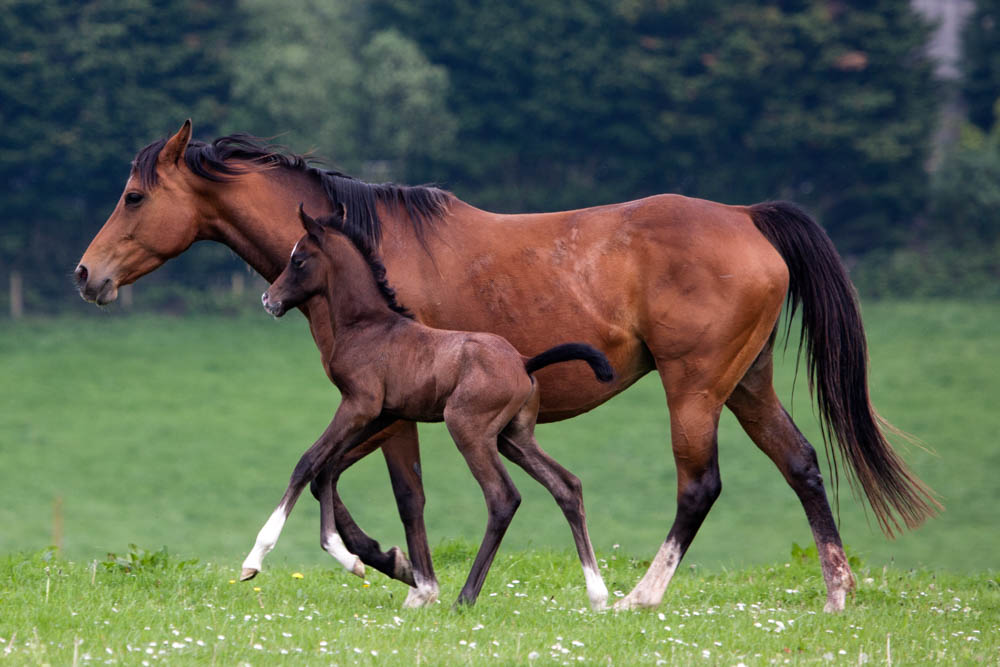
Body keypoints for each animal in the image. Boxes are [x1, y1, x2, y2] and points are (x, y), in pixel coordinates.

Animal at [243, 207, 616, 612]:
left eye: (298, 260)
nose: (268, 299)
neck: (369, 326)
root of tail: (524, 362)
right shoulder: (382, 414)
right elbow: (326, 469)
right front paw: (354, 560)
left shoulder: (359, 405)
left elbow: (308, 462)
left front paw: (255, 559)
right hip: (513, 436)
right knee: (566, 485)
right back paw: (598, 595)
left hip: (468, 429)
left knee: (503, 497)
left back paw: (465, 598)